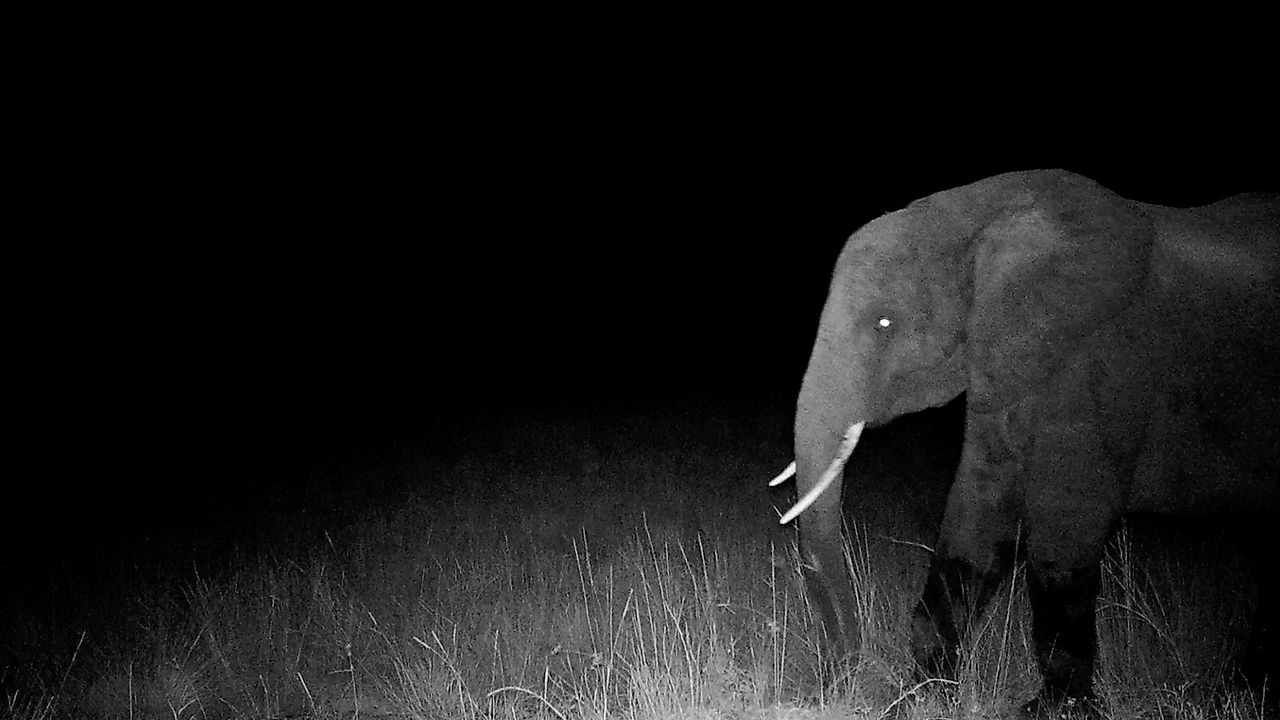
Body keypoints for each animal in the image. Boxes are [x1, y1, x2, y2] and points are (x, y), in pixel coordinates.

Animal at [770, 169, 1279, 712]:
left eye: (884, 323)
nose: (839, 677)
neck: (977, 216)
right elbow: (979, 511)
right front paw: (924, 696)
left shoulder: (1099, 361)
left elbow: (1065, 529)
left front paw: (1056, 709)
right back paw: (1244, 692)